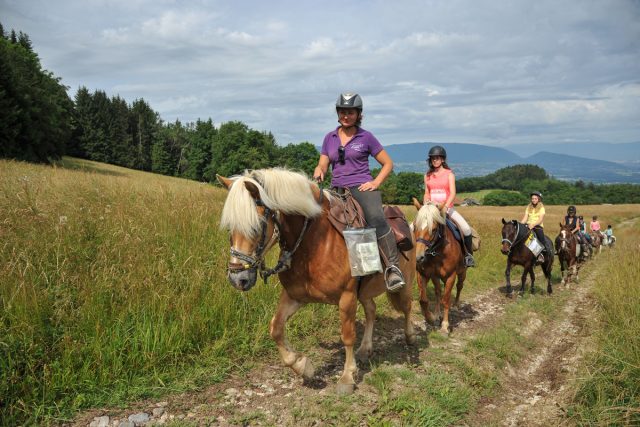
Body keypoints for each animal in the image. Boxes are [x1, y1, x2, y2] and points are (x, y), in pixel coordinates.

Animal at [218, 169, 418, 396]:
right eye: (229, 227)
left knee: (407, 306)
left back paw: (410, 336)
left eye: (257, 225)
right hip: (364, 291)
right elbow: (276, 328)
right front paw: (302, 366)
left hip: (405, 282)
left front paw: (347, 377)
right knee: (371, 310)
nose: (238, 278)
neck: (315, 241)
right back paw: (365, 349)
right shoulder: (294, 296)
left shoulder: (347, 297)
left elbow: (347, 335)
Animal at [412, 199, 468, 336]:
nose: (418, 257)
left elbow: (446, 300)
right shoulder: (423, 274)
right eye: (415, 226)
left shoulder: (451, 276)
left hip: (462, 272)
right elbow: (423, 300)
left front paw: (445, 326)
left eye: (433, 229)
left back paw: (456, 305)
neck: (438, 251)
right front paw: (431, 318)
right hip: (435, 277)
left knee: (459, 286)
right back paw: (437, 314)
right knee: (438, 292)